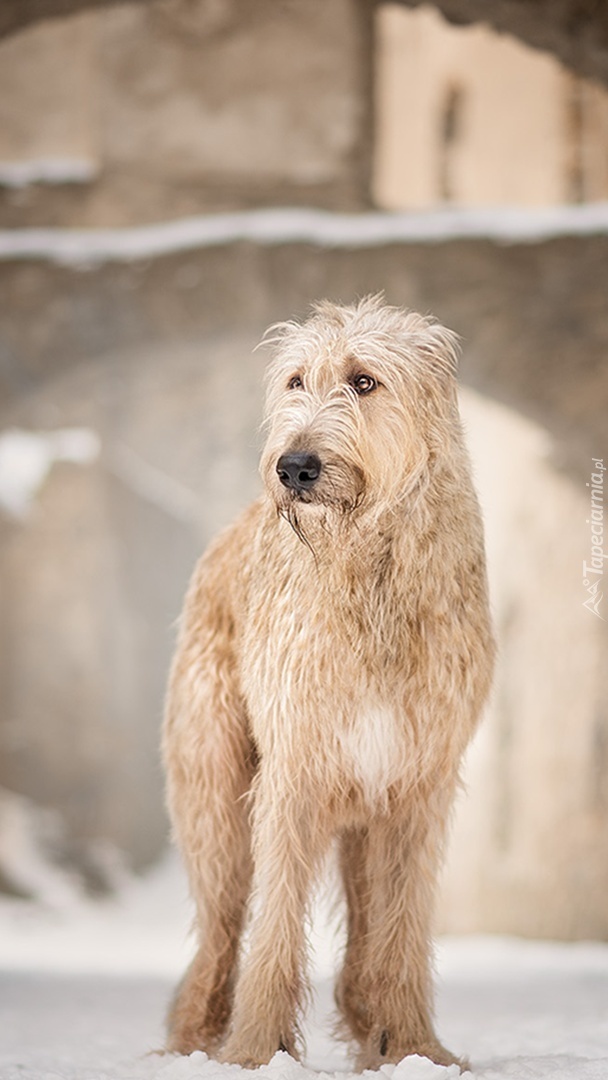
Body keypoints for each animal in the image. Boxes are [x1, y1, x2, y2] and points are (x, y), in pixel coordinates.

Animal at [161, 295, 494, 1071]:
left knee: (366, 930)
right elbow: (276, 925)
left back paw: (370, 1024)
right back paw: (191, 1040)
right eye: (294, 381)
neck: (371, 574)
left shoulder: (419, 785)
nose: (294, 467)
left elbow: (402, 930)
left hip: (362, 815)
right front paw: (256, 1051)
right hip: (214, 793)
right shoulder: (295, 770)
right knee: (222, 926)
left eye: (364, 380)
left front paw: (415, 1048)